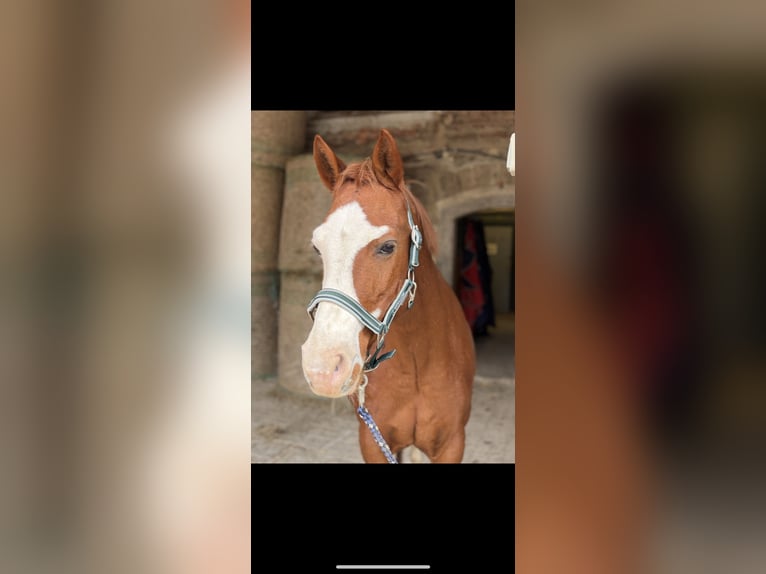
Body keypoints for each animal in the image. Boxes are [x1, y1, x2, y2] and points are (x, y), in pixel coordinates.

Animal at [300, 129, 476, 463]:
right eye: (317, 247)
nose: (322, 368)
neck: (418, 359)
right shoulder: (373, 442)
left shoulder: (452, 443)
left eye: (387, 247)